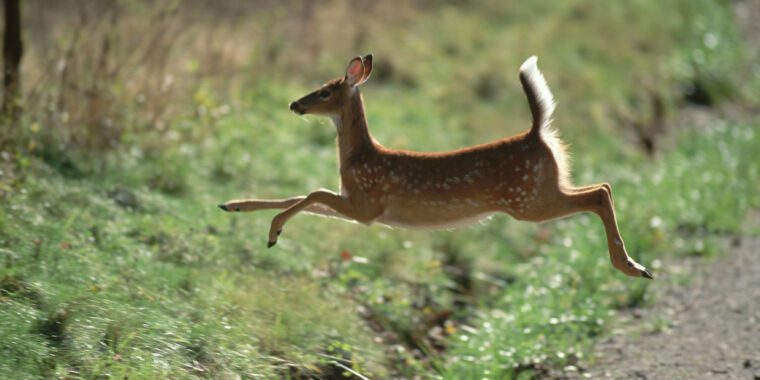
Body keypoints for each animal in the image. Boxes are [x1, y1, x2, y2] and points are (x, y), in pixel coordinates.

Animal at [218, 54, 652, 280]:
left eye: (325, 90)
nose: (295, 103)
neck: (360, 157)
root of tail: (537, 133)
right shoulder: (356, 205)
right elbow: (301, 196)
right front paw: (233, 205)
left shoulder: (367, 204)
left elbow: (312, 192)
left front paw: (272, 233)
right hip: (542, 191)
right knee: (602, 188)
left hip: (528, 200)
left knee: (599, 193)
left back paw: (631, 267)